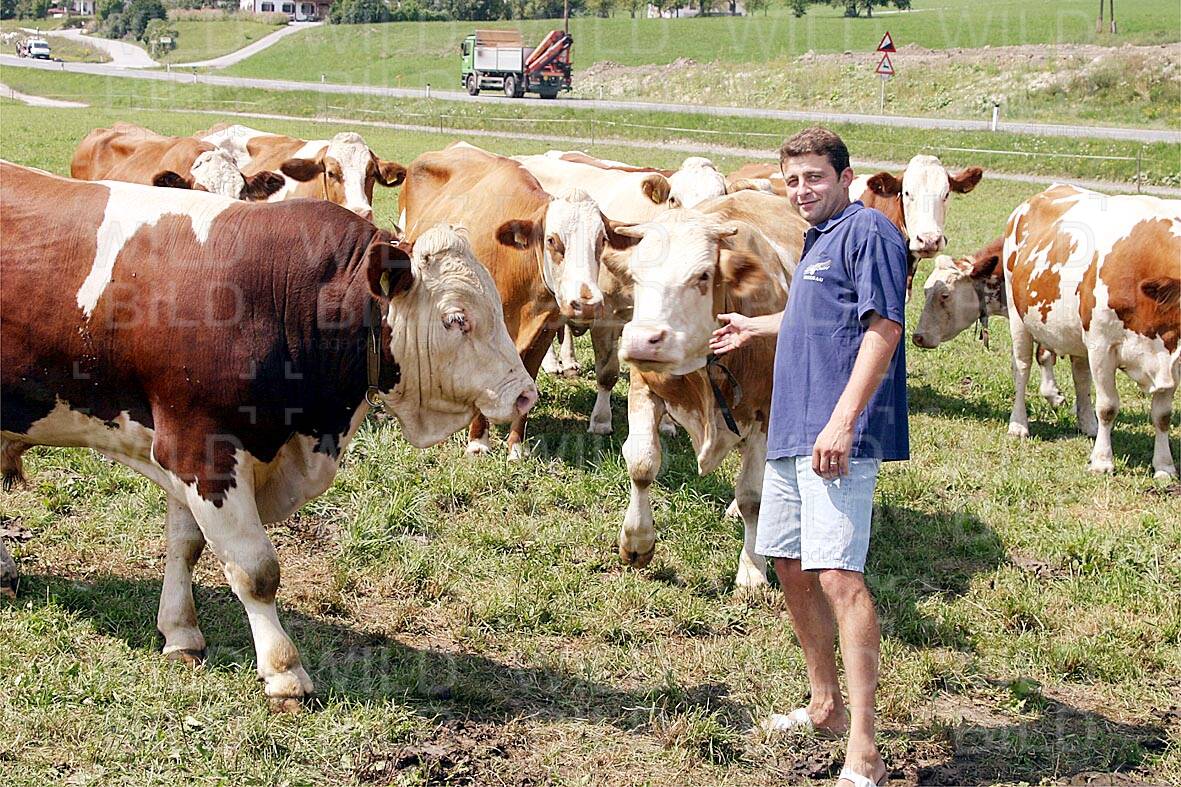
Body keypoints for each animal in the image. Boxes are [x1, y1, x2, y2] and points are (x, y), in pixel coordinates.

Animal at [0, 161, 537, 705]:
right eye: (456, 318)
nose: (524, 395)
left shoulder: (183, 451)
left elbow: (185, 545)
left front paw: (180, 632)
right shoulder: (201, 449)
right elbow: (255, 569)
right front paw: (284, 671)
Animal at [399, 142, 635, 459]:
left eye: (602, 240)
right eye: (552, 240)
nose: (585, 303)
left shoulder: (544, 331)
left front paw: (515, 446)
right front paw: (478, 441)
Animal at [600, 208, 795, 590]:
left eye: (703, 275)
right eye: (635, 276)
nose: (643, 340)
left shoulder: (766, 413)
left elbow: (753, 495)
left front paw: (752, 570)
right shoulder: (644, 387)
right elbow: (642, 463)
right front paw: (636, 543)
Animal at [1002, 184, 1180, 478]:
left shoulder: (1172, 359)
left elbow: (1163, 416)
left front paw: (1165, 466)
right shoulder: (1102, 345)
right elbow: (1108, 407)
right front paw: (1102, 461)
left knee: (1080, 376)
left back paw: (1087, 423)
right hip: (1018, 315)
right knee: (1022, 369)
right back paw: (1018, 424)